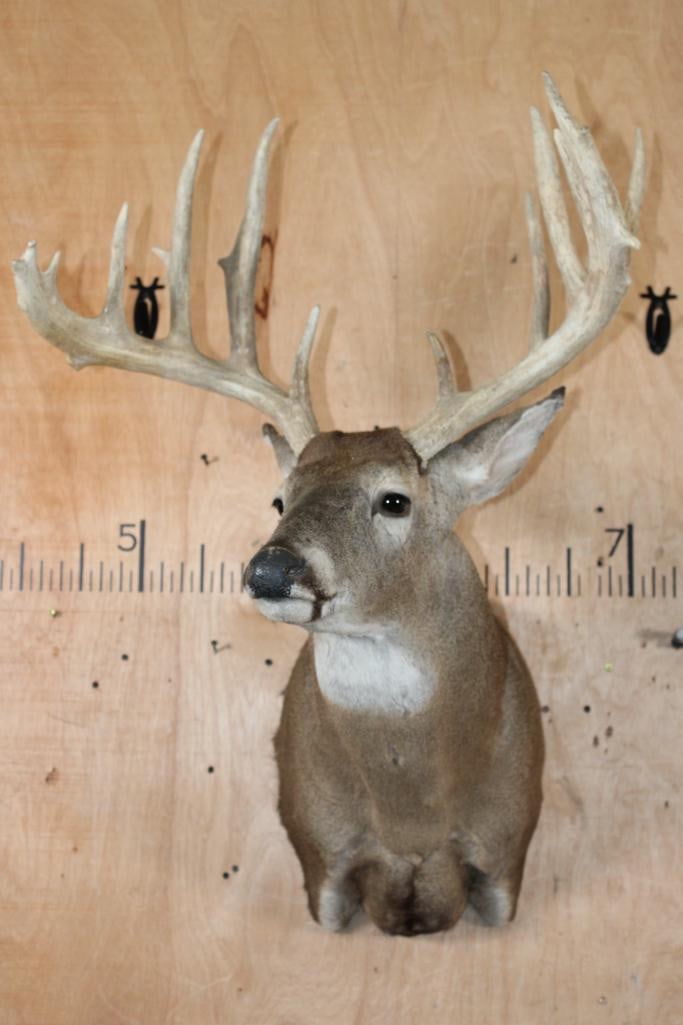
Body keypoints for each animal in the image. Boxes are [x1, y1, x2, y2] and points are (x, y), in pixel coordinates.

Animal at [13, 74, 644, 936]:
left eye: (394, 498)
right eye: (280, 494)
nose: (272, 569)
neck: (411, 809)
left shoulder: (507, 850)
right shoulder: (319, 856)